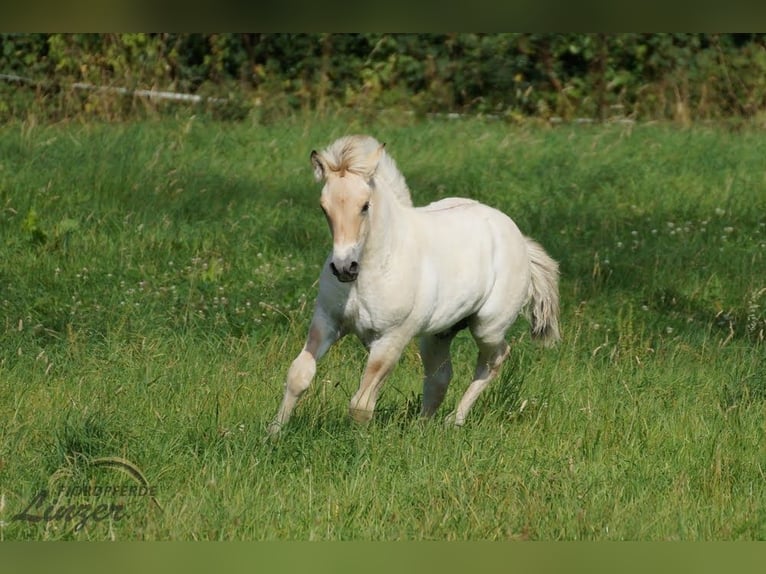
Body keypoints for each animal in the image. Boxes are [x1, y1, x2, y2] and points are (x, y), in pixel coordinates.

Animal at [268, 135, 560, 434]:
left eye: (365, 206)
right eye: (323, 207)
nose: (344, 267)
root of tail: (520, 240)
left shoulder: (392, 338)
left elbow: (361, 403)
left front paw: (356, 440)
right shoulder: (327, 321)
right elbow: (299, 375)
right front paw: (274, 432)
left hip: (487, 327)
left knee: (495, 359)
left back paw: (454, 420)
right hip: (438, 334)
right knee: (440, 377)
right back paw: (421, 429)